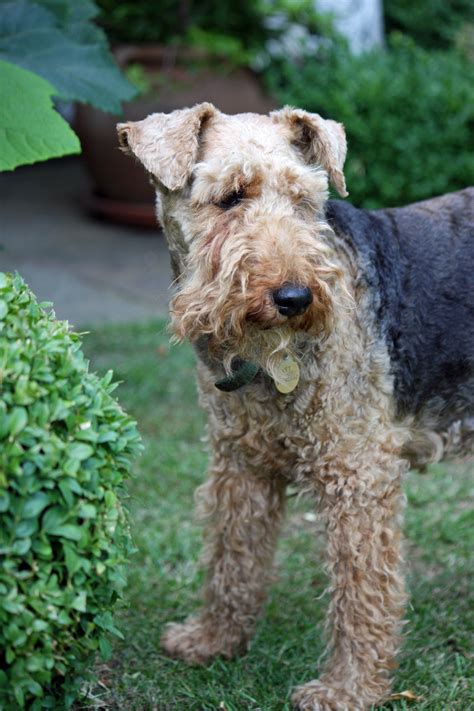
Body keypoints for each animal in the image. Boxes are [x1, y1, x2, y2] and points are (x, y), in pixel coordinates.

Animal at [115, 103, 474, 708]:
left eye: (306, 200)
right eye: (231, 197)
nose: (294, 298)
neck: (264, 363)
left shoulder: (359, 475)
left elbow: (360, 594)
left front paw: (347, 689)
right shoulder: (240, 460)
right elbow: (233, 556)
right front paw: (212, 641)